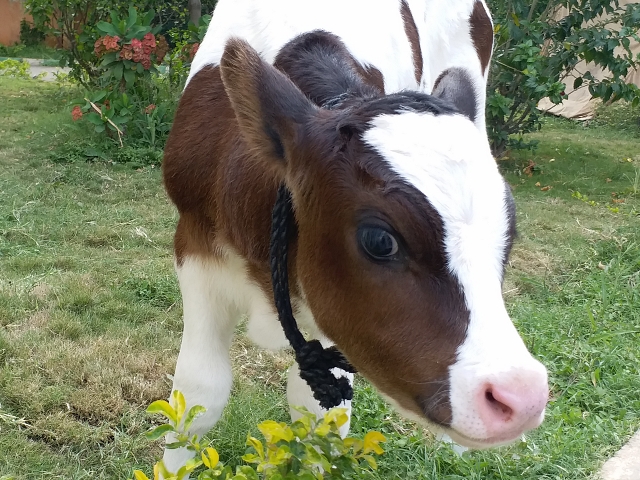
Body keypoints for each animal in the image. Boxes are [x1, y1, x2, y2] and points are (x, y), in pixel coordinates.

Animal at [162, 0, 548, 472]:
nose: (522, 396)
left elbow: (320, 415)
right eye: (380, 241)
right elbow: (198, 394)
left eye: (507, 237)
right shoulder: (195, 246)